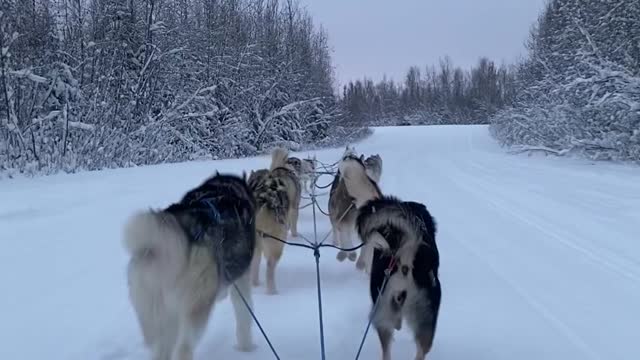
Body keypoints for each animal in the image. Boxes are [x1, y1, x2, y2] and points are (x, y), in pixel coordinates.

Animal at [123, 173, 258, 358]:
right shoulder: (241, 281)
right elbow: (244, 314)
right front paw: (246, 347)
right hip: (196, 309)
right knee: (184, 348)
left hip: (158, 311)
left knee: (162, 348)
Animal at [248, 148, 302, 294]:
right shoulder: (294, 208)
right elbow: (293, 224)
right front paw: (295, 234)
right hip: (276, 242)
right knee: (270, 267)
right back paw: (272, 291)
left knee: (255, 263)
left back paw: (255, 284)